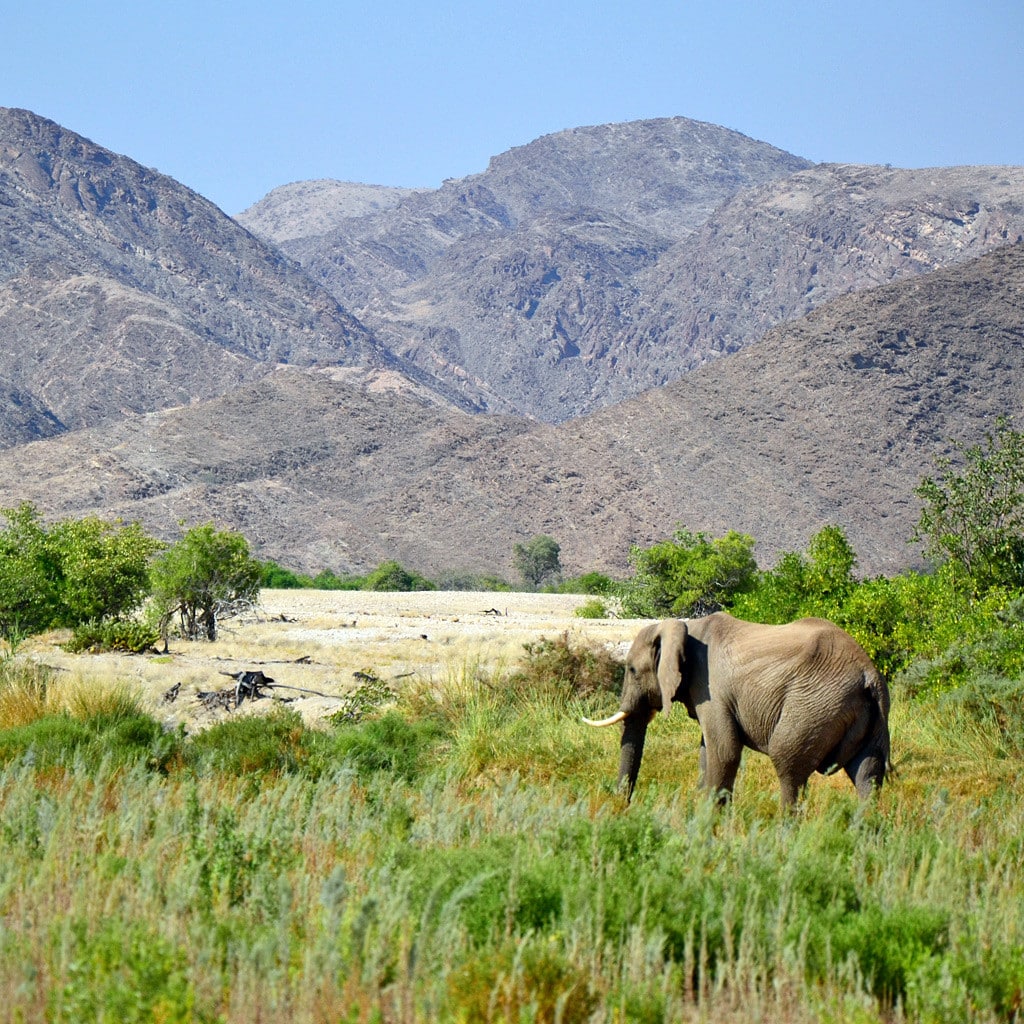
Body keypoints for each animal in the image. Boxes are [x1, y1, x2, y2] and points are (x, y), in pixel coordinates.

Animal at [584, 613, 891, 807]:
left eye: (632, 670)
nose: (624, 807)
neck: (685, 627)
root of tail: (868, 675)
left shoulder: (712, 689)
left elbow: (725, 750)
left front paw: (711, 822)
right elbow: (708, 751)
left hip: (813, 706)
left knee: (789, 768)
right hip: (870, 718)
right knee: (868, 775)